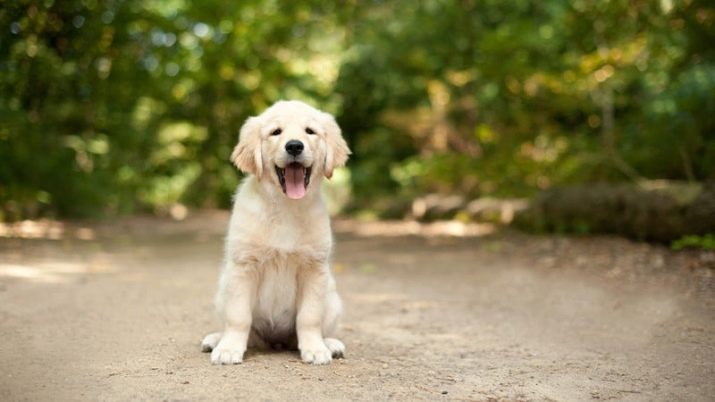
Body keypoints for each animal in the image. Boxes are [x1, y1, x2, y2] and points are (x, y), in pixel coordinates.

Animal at [200, 99, 352, 364]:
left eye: (309, 131)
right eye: (276, 132)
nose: (294, 146)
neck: (286, 207)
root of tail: (275, 341)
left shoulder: (314, 268)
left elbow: (309, 317)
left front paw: (315, 348)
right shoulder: (243, 266)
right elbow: (238, 317)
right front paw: (229, 348)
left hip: (333, 298)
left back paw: (330, 343)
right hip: (222, 290)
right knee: (244, 332)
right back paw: (215, 339)